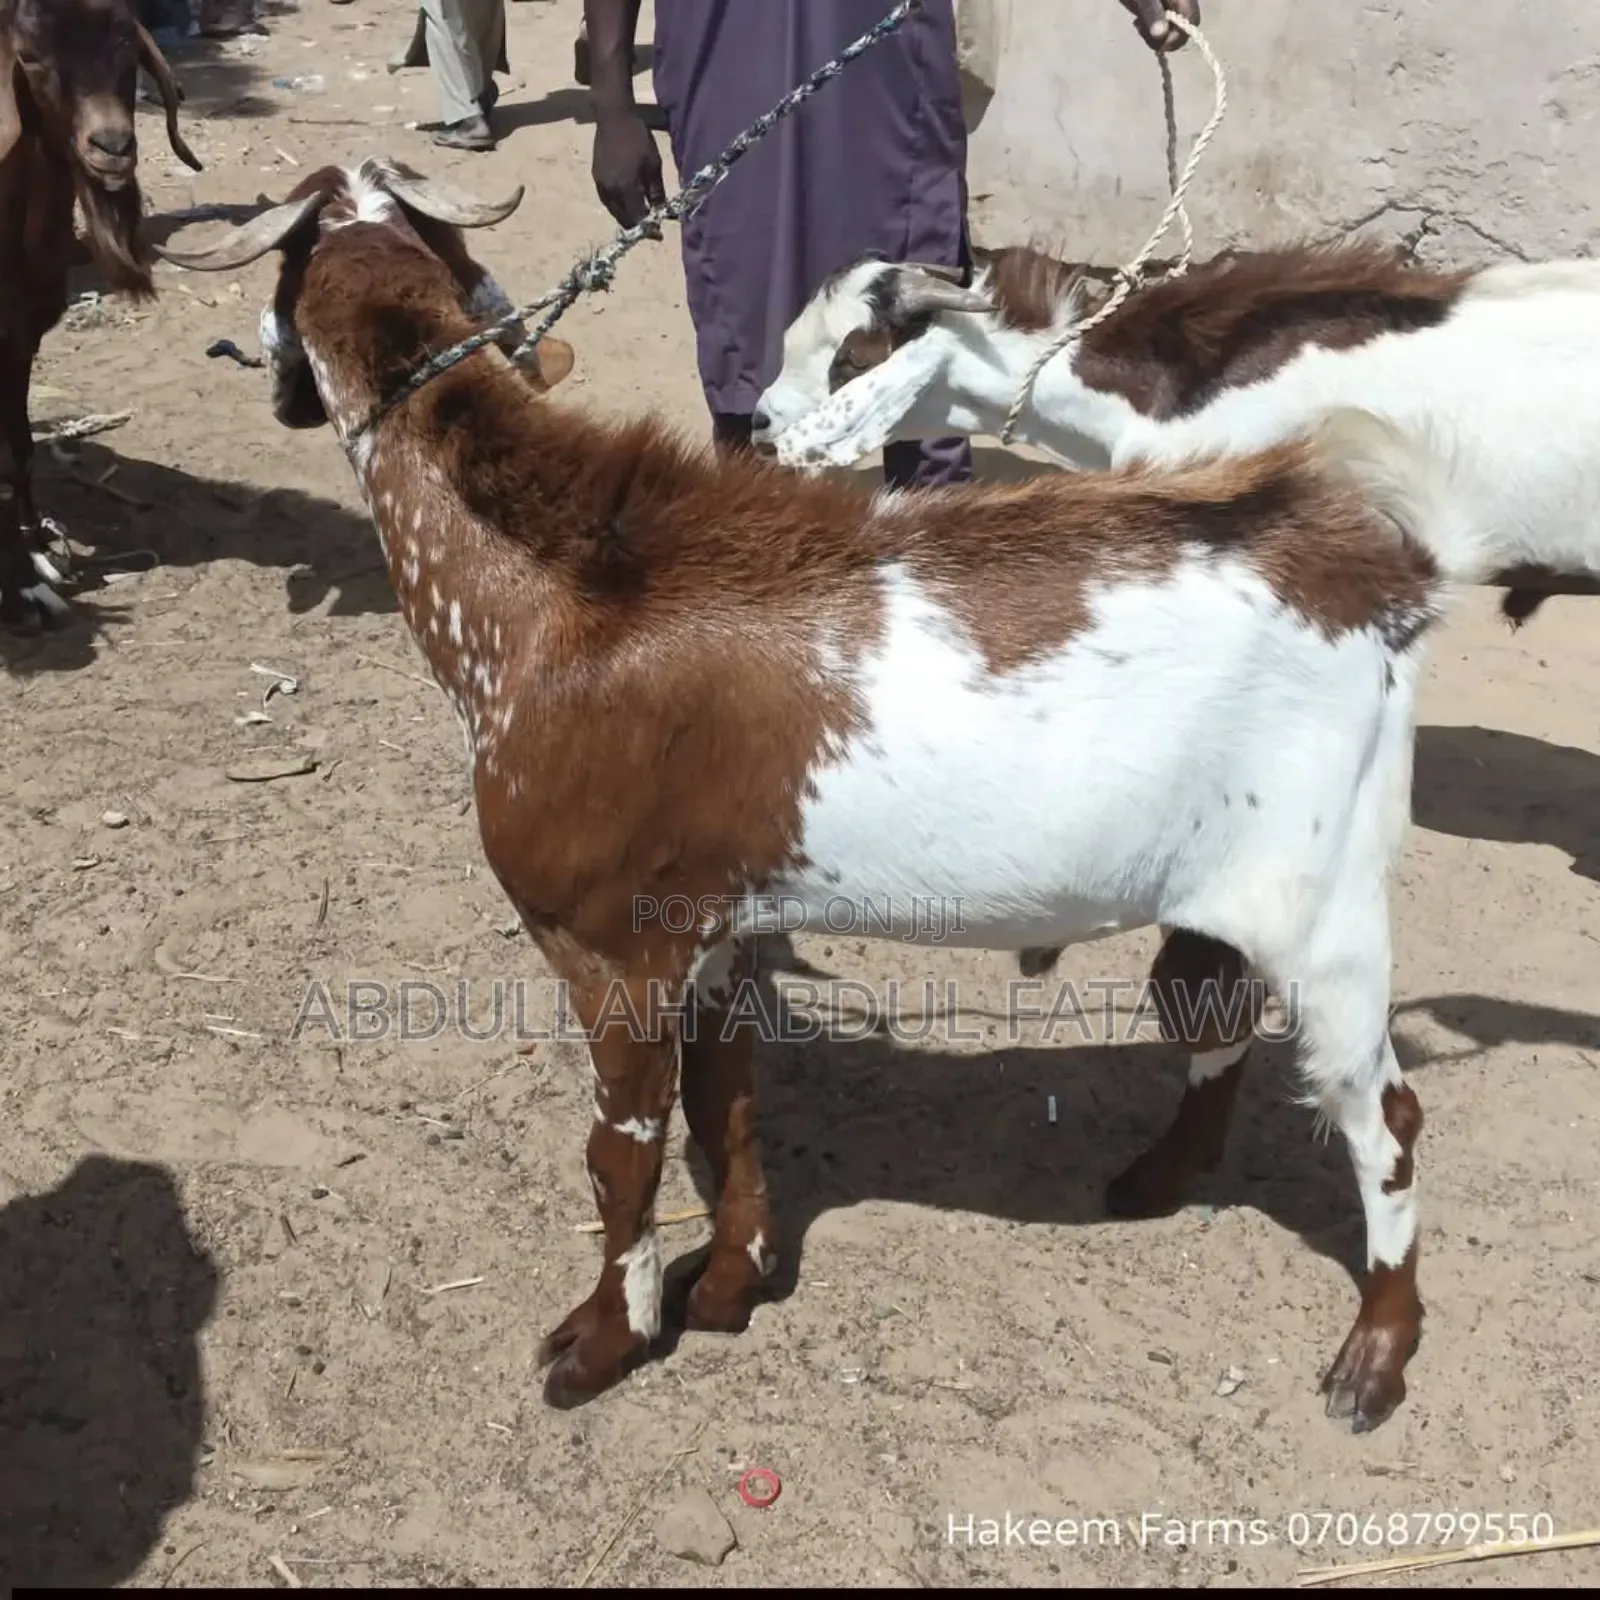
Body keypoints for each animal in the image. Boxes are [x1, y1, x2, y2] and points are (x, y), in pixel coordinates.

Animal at [0, 0, 201, 631]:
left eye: (124, 46)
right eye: (30, 56)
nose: (111, 146)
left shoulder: (22, 337)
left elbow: (18, 451)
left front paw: (39, 551)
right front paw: (21, 588)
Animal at [160, 160, 1461, 1434]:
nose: (247, 370)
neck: (550, 596)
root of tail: (1373, 573)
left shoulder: (603, 943)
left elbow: (619, 1153)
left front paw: (602, 1340)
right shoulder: (708, 928)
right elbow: (724, 1104)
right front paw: (730, 1285)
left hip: (1327, 908)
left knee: (1385, 1121)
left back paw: (1374, 1359)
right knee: (1211, 1016)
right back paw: (1157, 1183)